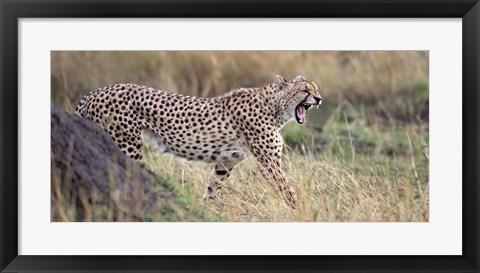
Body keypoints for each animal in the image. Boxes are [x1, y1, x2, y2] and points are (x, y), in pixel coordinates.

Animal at [75, 75, 322, 207]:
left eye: (316, 89)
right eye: (304, 90)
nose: (319, 98)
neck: (274, 108)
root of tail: (94, 92)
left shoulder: (226, 162)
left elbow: (213, 187)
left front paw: (207, 208)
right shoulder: (269, 162)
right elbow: (286, 189)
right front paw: (299, 211)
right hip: (128, 144)